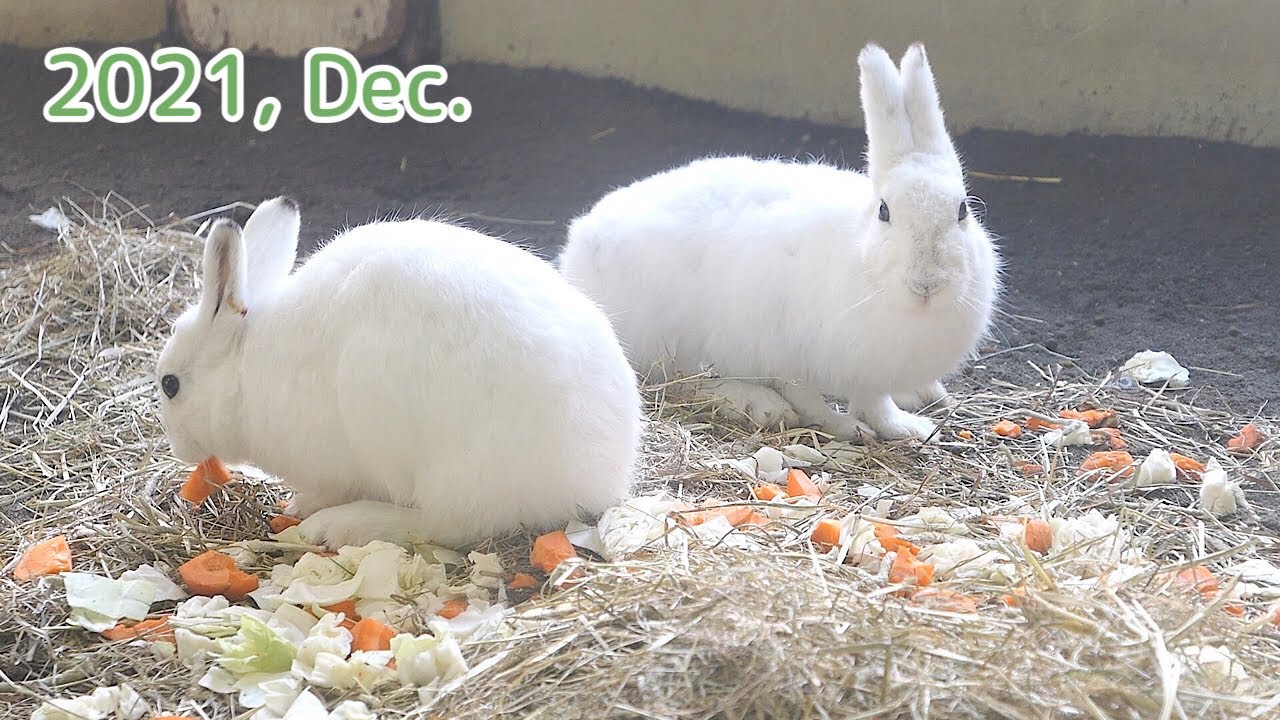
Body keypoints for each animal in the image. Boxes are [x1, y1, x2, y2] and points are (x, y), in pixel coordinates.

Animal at [155, 197, 643, 550]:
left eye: (170, 384)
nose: (179, 449)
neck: (244, 367)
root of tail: (600, 478)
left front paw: (302, 506)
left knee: (452, 524)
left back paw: (345, 526)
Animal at [558, 43, 1001, 442]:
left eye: (962, 210)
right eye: (884, 211)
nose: (927, 283)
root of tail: (578, 242)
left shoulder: (870, 372)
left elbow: (876, 403)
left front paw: (906, 428)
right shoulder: (784, 351)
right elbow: (809, 400)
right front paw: (846, 428)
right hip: (668, 342)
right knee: (680, 382)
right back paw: (758, 404)